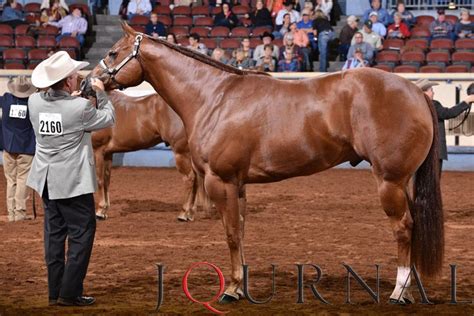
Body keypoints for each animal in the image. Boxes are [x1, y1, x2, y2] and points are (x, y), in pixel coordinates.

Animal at [90, 90, 207, 221]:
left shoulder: (98, 150)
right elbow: (106, 181)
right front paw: (104, 210)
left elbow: (99, 180)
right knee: (196, 180)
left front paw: (99, 211)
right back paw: (190, 214)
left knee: (189, 179)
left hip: (181, 153)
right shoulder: (108, 153)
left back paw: (183, 213)